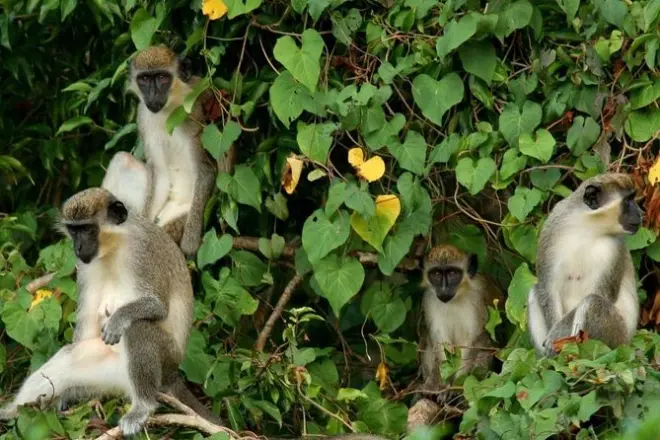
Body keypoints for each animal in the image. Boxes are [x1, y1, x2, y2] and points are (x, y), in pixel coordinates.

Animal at [0, 187, 221, 434]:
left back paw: (143, 406)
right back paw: (13, 411)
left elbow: (158, 307)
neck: (114, 246)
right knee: (69, 355)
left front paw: (118, 319)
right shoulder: (85, 267)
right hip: (107, 370)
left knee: (139, 329)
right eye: (73, 230)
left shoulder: (144, 252)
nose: (77, 248)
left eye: (87, 229)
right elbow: (86, 329)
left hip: (168, 360)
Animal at [102, 45, 236, 257]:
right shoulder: (143, 116)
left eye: (162, 77)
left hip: (181, 215)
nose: (153, 94)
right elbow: (160, 173)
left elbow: (206, 170)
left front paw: (190, 244)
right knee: (123, 160)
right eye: (144, 79)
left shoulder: (193, 112)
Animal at [419, 244, 502, 391]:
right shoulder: (429, 299)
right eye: (436, 274)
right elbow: (439, 342)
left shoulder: (478, 295)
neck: (457, 297)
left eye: (453, 273)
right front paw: (439, 382)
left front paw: (458, 383)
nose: (444, 289)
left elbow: (473, 340)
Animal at [527, 173, 642, 357]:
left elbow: (601, 293)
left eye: (632, 197)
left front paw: (556, 334)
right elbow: (547, 289)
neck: (588, 227)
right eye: (628, 200)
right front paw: (553, 335)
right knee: (534, 291)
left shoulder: (615, 248)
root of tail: (628, 343)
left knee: (592, 303)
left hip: (616, 340)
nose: (639, 213)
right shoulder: (551, 230)